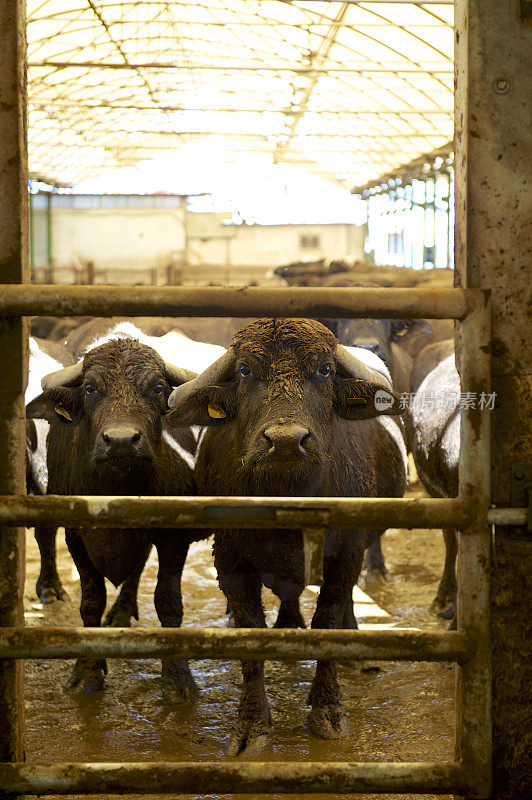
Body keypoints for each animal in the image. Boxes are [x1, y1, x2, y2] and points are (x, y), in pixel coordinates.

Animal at [26, 338, 204, 700]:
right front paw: (86, 672)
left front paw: (178, 679)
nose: (121, 441)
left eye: (157, 388)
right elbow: (91, 602)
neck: (118, 483)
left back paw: (122, 611)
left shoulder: (173, 536)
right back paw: (50, 588)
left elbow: (168, 602)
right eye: (91, 388)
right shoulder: (77, 535)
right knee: (44, 534)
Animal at [166, 316, 404, 752]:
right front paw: (252, 724)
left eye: (324, 369)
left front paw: (327, 709)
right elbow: (251, 636)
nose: (287, 441)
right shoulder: (231, 562)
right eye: (245, 371)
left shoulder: (346, 554)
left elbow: (328, 621)